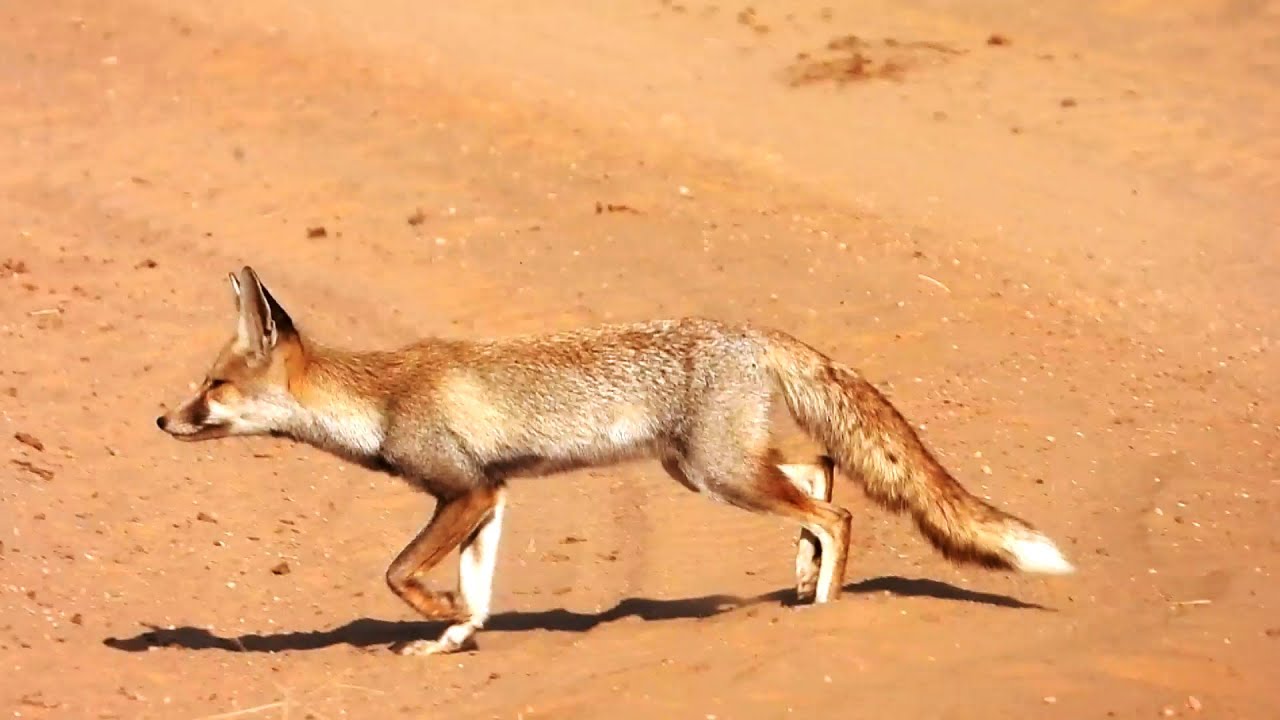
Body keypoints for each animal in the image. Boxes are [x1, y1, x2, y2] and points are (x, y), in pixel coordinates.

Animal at [157, 266, 1073, 656]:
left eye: (211, 385)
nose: (162, 417)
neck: (379, 399)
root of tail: (748, 330)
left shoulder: (464, 490)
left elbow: (399, 574)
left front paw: (434, 618)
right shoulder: (493, 497)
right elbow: (476, 594)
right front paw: (455, 637)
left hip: (718, 473)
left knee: (837, 509)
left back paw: (822, 606)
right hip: (709, 467)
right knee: (819, 472)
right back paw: (802, 581)